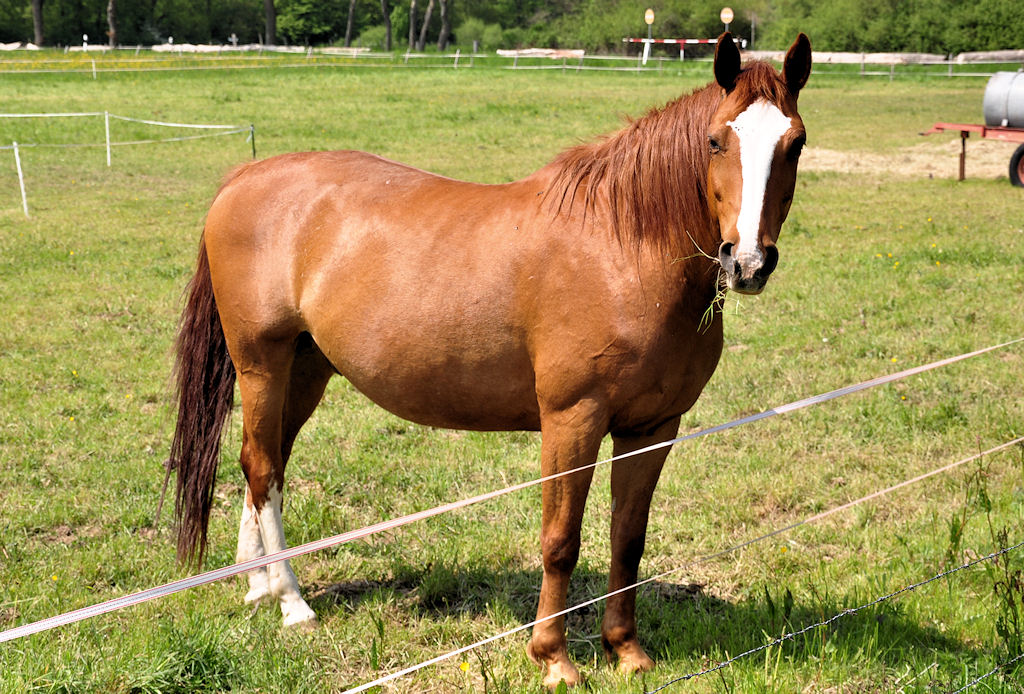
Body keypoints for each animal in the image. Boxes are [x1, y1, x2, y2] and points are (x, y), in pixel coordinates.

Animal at [172, 35, 815, 687]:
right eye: (715, 140)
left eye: (796, 142)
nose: (747, 261)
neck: (622, 250)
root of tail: (246, 177)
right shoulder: (573, 419)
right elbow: (561, 540)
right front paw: (554, 659)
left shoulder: (653, 427)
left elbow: (627, 540)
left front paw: (627, 651)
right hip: (262, 364)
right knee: (260, 467)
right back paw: (291, 601)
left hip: (305, 369)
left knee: (268, 462)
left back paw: (257, 586)